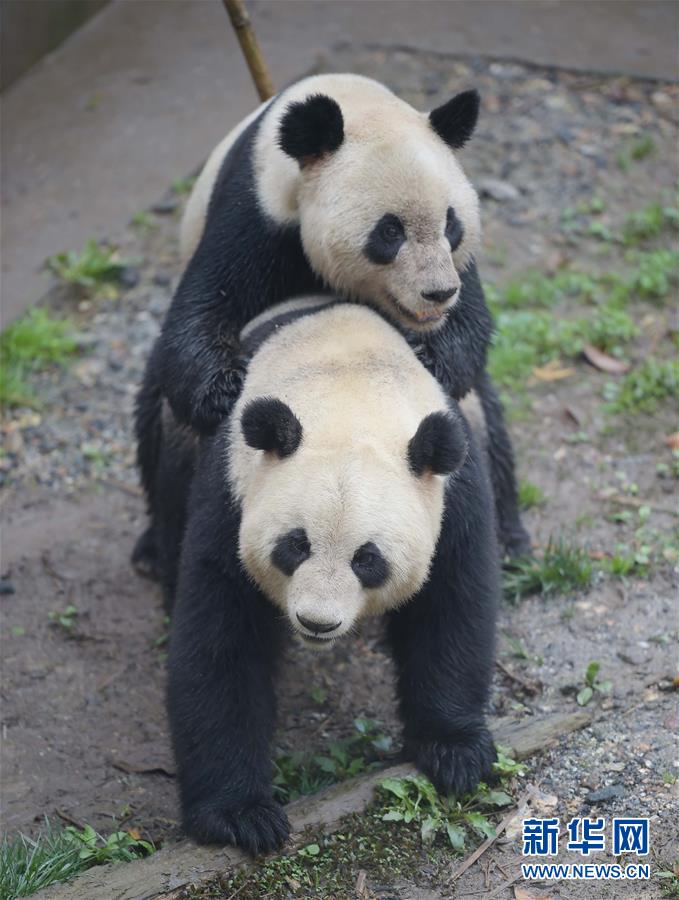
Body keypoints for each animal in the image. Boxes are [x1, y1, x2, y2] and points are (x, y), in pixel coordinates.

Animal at [137, 75, 532, 584]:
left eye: (451, 223)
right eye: (390, 232)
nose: (438, 293)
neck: (351, 103)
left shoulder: (459, 269)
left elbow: (471, 330)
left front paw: (430, 356)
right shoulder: (253, 214)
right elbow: (200, 309)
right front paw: (225, 390)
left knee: (487, 422)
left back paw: (511, 541)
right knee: (155, 409)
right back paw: (150, 550)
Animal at [158, 298, 500, 856]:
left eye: (368, 559)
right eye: (296, 545)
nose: (317, 623)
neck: (348, 390)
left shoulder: (453, 495)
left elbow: (451, 609)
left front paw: (455, 752)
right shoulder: (231, 489)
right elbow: (221, 639)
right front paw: (240, 814)